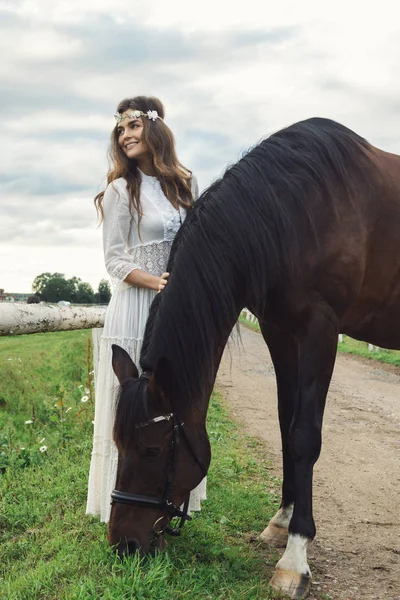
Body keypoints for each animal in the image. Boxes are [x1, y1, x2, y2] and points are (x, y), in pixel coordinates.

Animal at [108, 118, 400, 600]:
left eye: (151, 450)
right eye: (117, 443)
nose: (124, 545)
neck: (292, 211)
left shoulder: (321, 330)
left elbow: (305, 436)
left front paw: (295, 558)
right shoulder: (279, 331)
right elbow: (285, 425)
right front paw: (280, 523)